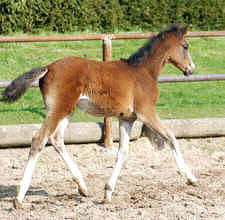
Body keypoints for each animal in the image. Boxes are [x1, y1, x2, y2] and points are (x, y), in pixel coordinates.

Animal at [0, 24, 196, 208]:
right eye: (185, 46)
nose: (191, 69)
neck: (143, 72)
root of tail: (48, 68)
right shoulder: (146, 112)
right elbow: (170, 137)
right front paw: (190, 178)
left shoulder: (127, 118)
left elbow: (122, 151)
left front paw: (108, 192)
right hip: (60, 109)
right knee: (39, 139)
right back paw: (19, 197)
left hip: (67, 110)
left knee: (56, 138)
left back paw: (83, 187)